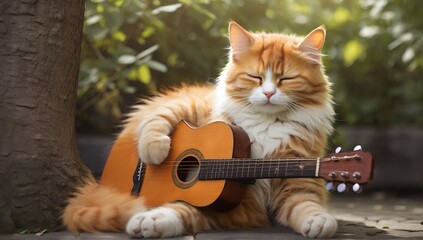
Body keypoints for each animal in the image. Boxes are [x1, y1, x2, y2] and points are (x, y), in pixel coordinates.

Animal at [63, 21, 340, 238]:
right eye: (255, 77)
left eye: (286, 79)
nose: (269, 93)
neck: (267, 125)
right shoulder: (239, 203)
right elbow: (185, 209)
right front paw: (147, 219)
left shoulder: (293, 186)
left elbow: (306, 206)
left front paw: (320, 222)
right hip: (189, 105)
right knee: (156, 119)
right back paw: (151, 154)